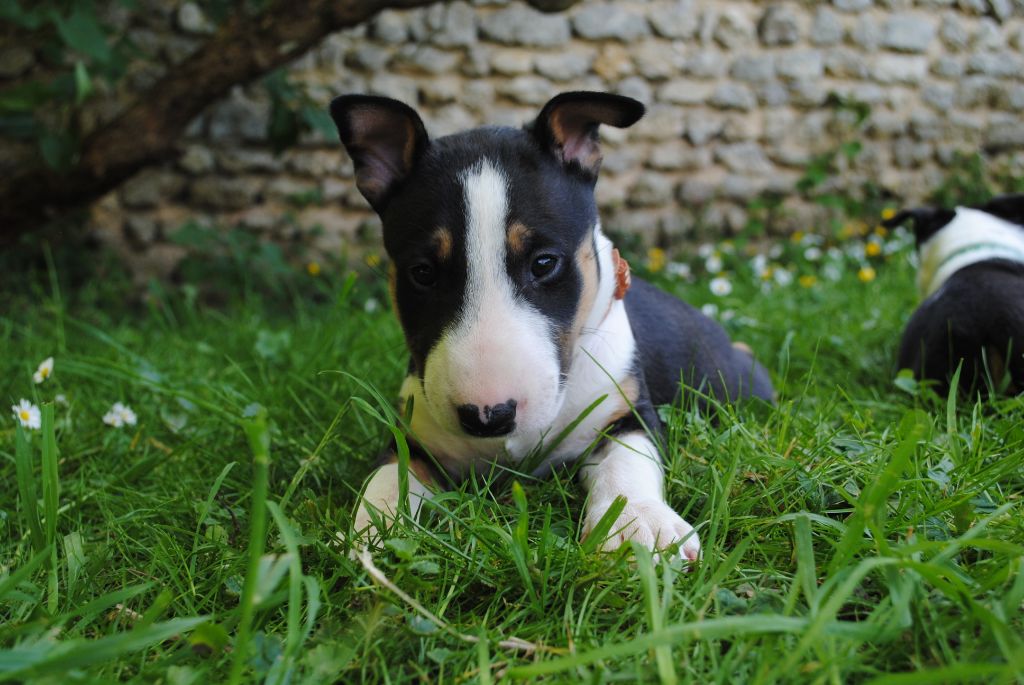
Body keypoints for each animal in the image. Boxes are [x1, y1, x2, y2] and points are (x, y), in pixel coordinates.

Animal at [331, 92, 770, 561]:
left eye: (544, 263)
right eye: (422, 272)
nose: (488, 417)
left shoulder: (629, 413)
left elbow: (627, 459)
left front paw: (640, 526)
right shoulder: (413, 432)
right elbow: (388, 473)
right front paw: (369, 531)